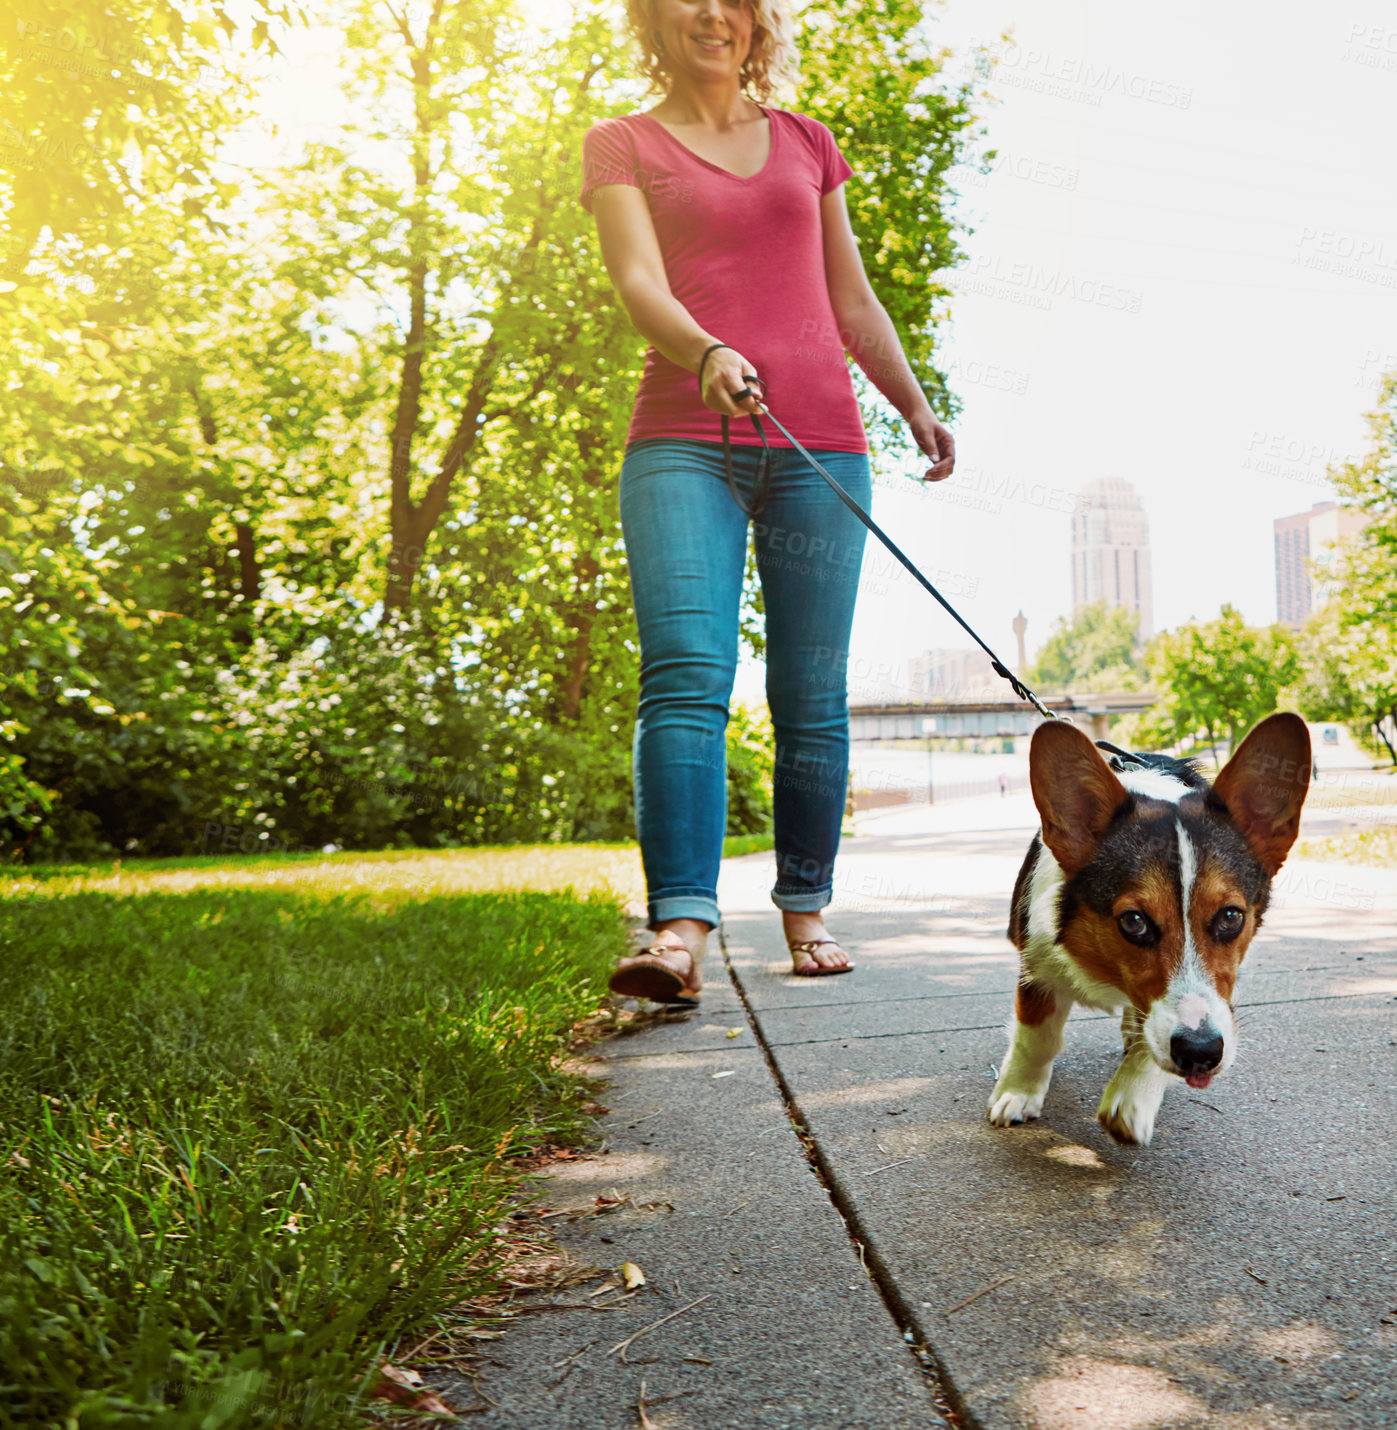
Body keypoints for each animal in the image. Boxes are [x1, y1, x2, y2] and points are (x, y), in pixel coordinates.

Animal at [983, 709, 1309, 1144]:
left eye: (1231, 917)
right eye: (1133, 922)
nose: (1202, 1053)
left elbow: (1150, 1036)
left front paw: (1132, 1094)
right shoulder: (1036, 970)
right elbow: (1036, 1039)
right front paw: (1016, 1094)